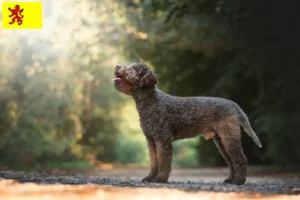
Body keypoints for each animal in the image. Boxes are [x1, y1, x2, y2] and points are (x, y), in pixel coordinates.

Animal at [113, 62, 262, 184]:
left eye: (133, 69)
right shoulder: (151, 140)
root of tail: (234, 105)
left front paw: (160, 179)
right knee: (231, 162)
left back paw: (239, 181)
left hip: (229, 137)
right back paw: (230, 180)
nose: (117, 66)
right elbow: (154, 161)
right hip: (221, 141)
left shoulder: (162, 140)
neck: (152, 102)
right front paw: (150, 178)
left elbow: (163, 161)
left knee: (240, 159)